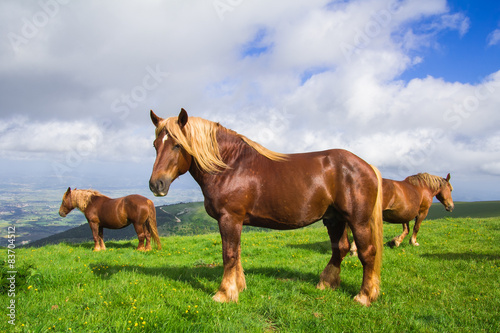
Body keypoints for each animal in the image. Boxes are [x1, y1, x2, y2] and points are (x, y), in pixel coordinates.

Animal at [148, 107, 382, 304]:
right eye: (155, 145)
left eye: (178, 145)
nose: (156, 184)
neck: (230, 166)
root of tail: (367, 165)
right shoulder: (236, 221)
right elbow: (237, 252)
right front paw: (238, 287)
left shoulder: (229, 218)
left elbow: (229, 254)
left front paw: (224, 293)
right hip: (334, 219)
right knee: (339, 248)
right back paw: (326, 284)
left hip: (358, 221)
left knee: (367, 253)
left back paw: (364, 296)